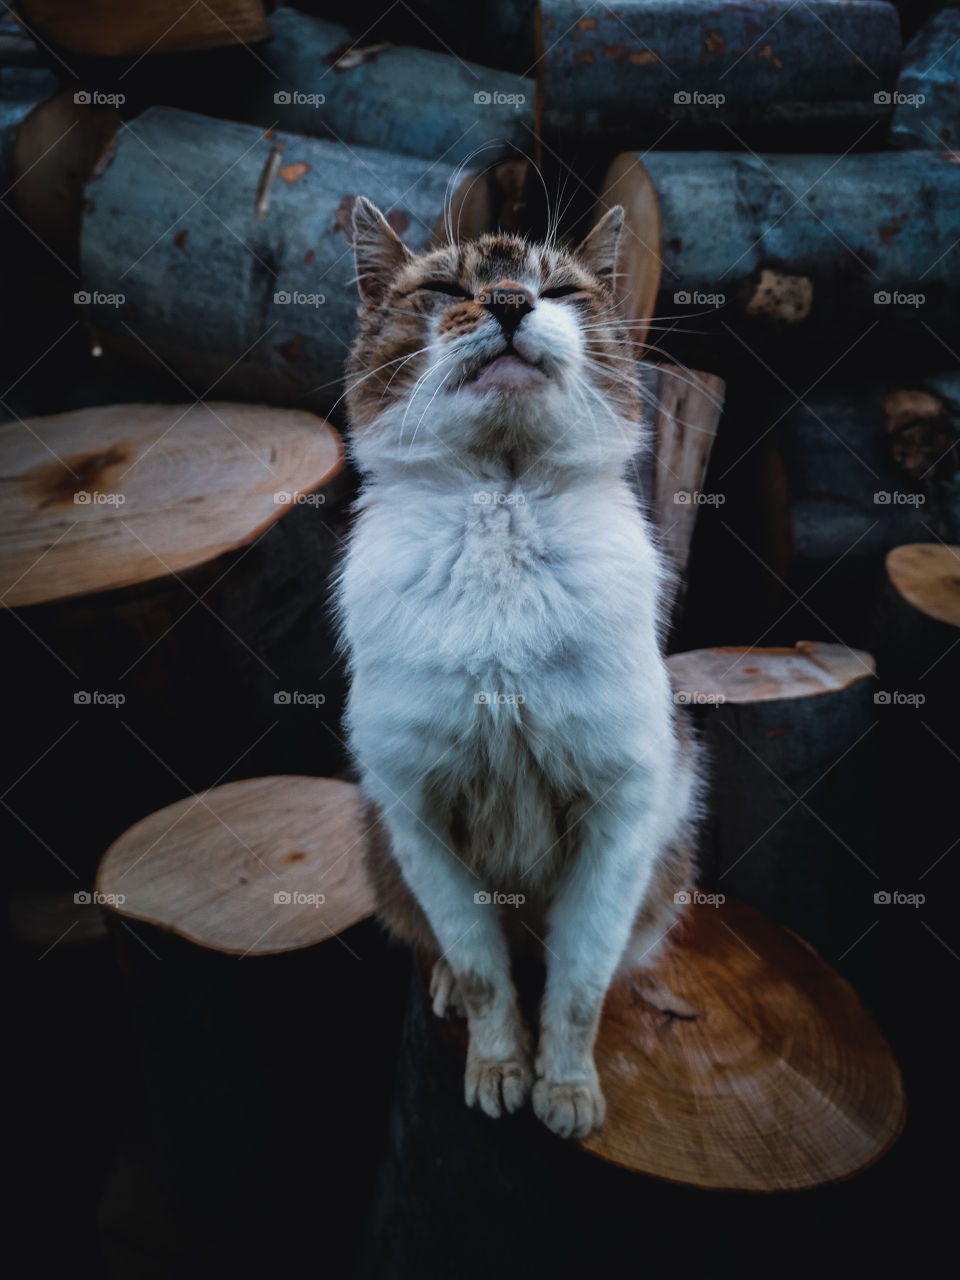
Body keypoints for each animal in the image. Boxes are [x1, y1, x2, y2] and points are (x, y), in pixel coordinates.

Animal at [343, 199, 701, 1141]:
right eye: (442, 286)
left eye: (562, 291)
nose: (507, 301)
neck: (500, 510)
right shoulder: (419, 813)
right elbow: (482, 970)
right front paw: (499, 1067)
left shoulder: (621, 813)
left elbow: (577, 984)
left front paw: (566, 1091)